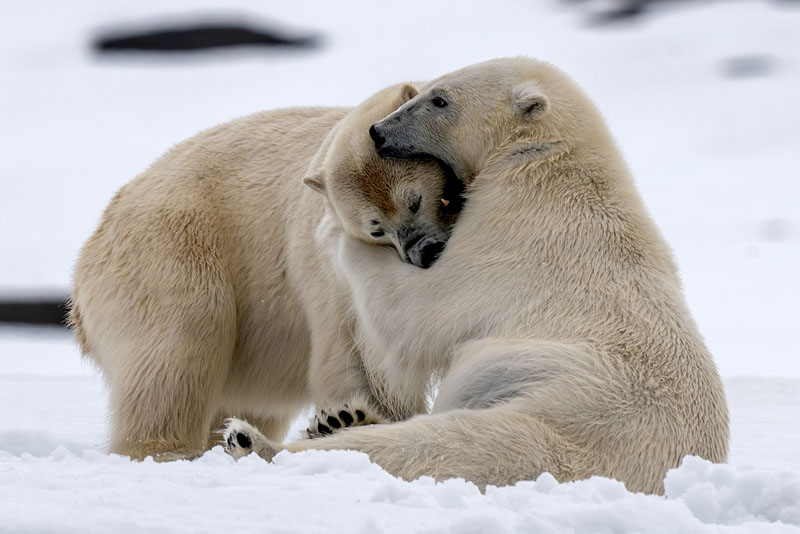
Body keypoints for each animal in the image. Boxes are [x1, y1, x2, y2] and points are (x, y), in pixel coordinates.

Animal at [69, 82, 458, 461]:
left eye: (415, 200)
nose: (423, 251)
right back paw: (172, 449)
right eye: (376, 229)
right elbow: (358, 353)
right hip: (171, 247)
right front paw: (354, 418)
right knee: (181, 339)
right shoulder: (333, 265)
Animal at [222, 57, 729, 495]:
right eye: (428, 87)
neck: (550, 166)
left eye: (440, 99)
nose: (378, 131)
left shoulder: (512, 235)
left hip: (565, 422)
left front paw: (337, 235)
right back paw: (339, 420)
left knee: (443, 447)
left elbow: (417, 313)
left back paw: (254, 441)